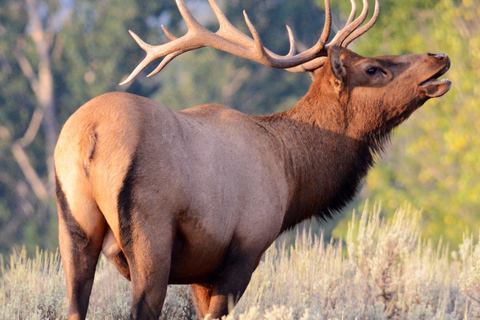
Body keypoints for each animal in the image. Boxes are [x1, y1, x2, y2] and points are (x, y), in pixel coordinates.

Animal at [53, 0, 450, 318]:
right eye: (372, 69)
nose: (439, 57)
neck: (292, 176)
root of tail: (89, 136)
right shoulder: (245, 248)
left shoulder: (201, 270)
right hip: (150, 231)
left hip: (73, 226)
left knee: (74, 305)